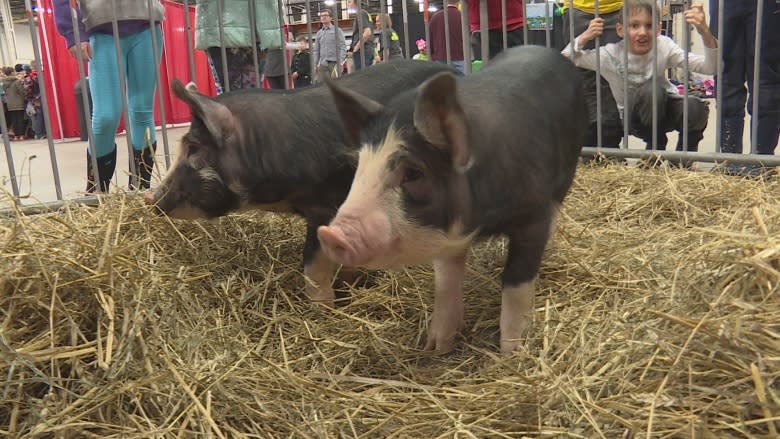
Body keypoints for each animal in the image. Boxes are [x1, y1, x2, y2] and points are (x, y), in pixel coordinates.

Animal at [316, 46, 584, 354]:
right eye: (360, 165)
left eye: (413, 173)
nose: (330, 234)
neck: (482, 222)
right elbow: (446, 280)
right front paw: (434, 347)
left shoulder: (532, 217)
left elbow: (516, 284)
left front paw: (512, 353)